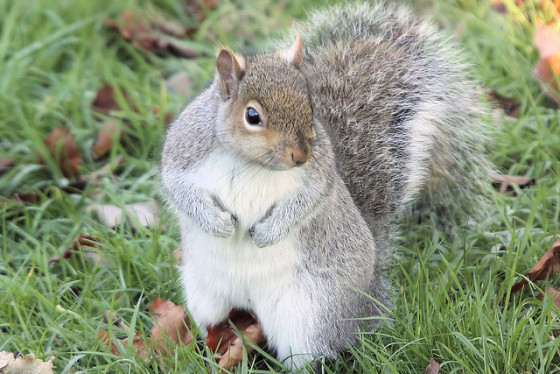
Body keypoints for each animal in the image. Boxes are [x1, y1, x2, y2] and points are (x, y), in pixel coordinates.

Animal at [160, 1, 492, 372]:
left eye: (309, 106)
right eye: (252, 116)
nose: (301, 154)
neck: (250, 163)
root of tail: (369, 297)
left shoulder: (318, 176)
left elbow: (306, 202)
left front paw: (268, 233)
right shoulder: (183, 152)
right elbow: (178, 189)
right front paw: (217, 223)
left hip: (310, 314)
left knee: (309, 354)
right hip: (204, 295)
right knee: (213, 323)